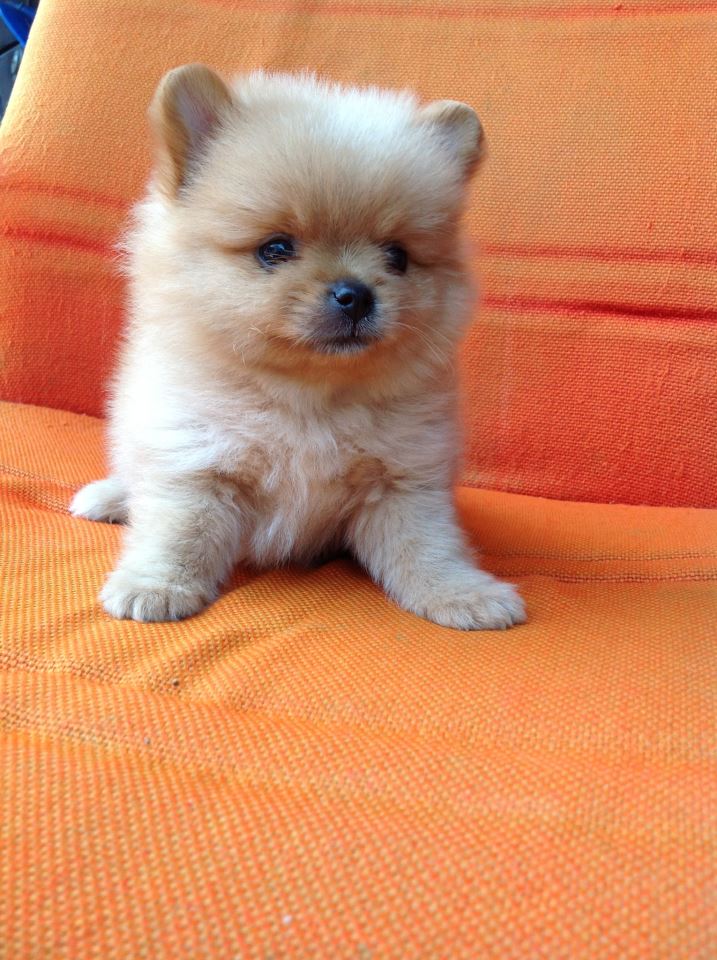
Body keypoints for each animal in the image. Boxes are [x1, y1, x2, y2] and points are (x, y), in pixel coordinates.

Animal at [71, 65, 525, 630]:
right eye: (276, 248)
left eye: (397, 256)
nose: (355, 294)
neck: (308, 400)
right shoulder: (196, 460)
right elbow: (180, 532)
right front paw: (156, 585)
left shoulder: (405, 479)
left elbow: (427, 547)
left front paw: (463, 593)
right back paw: (109, 496)